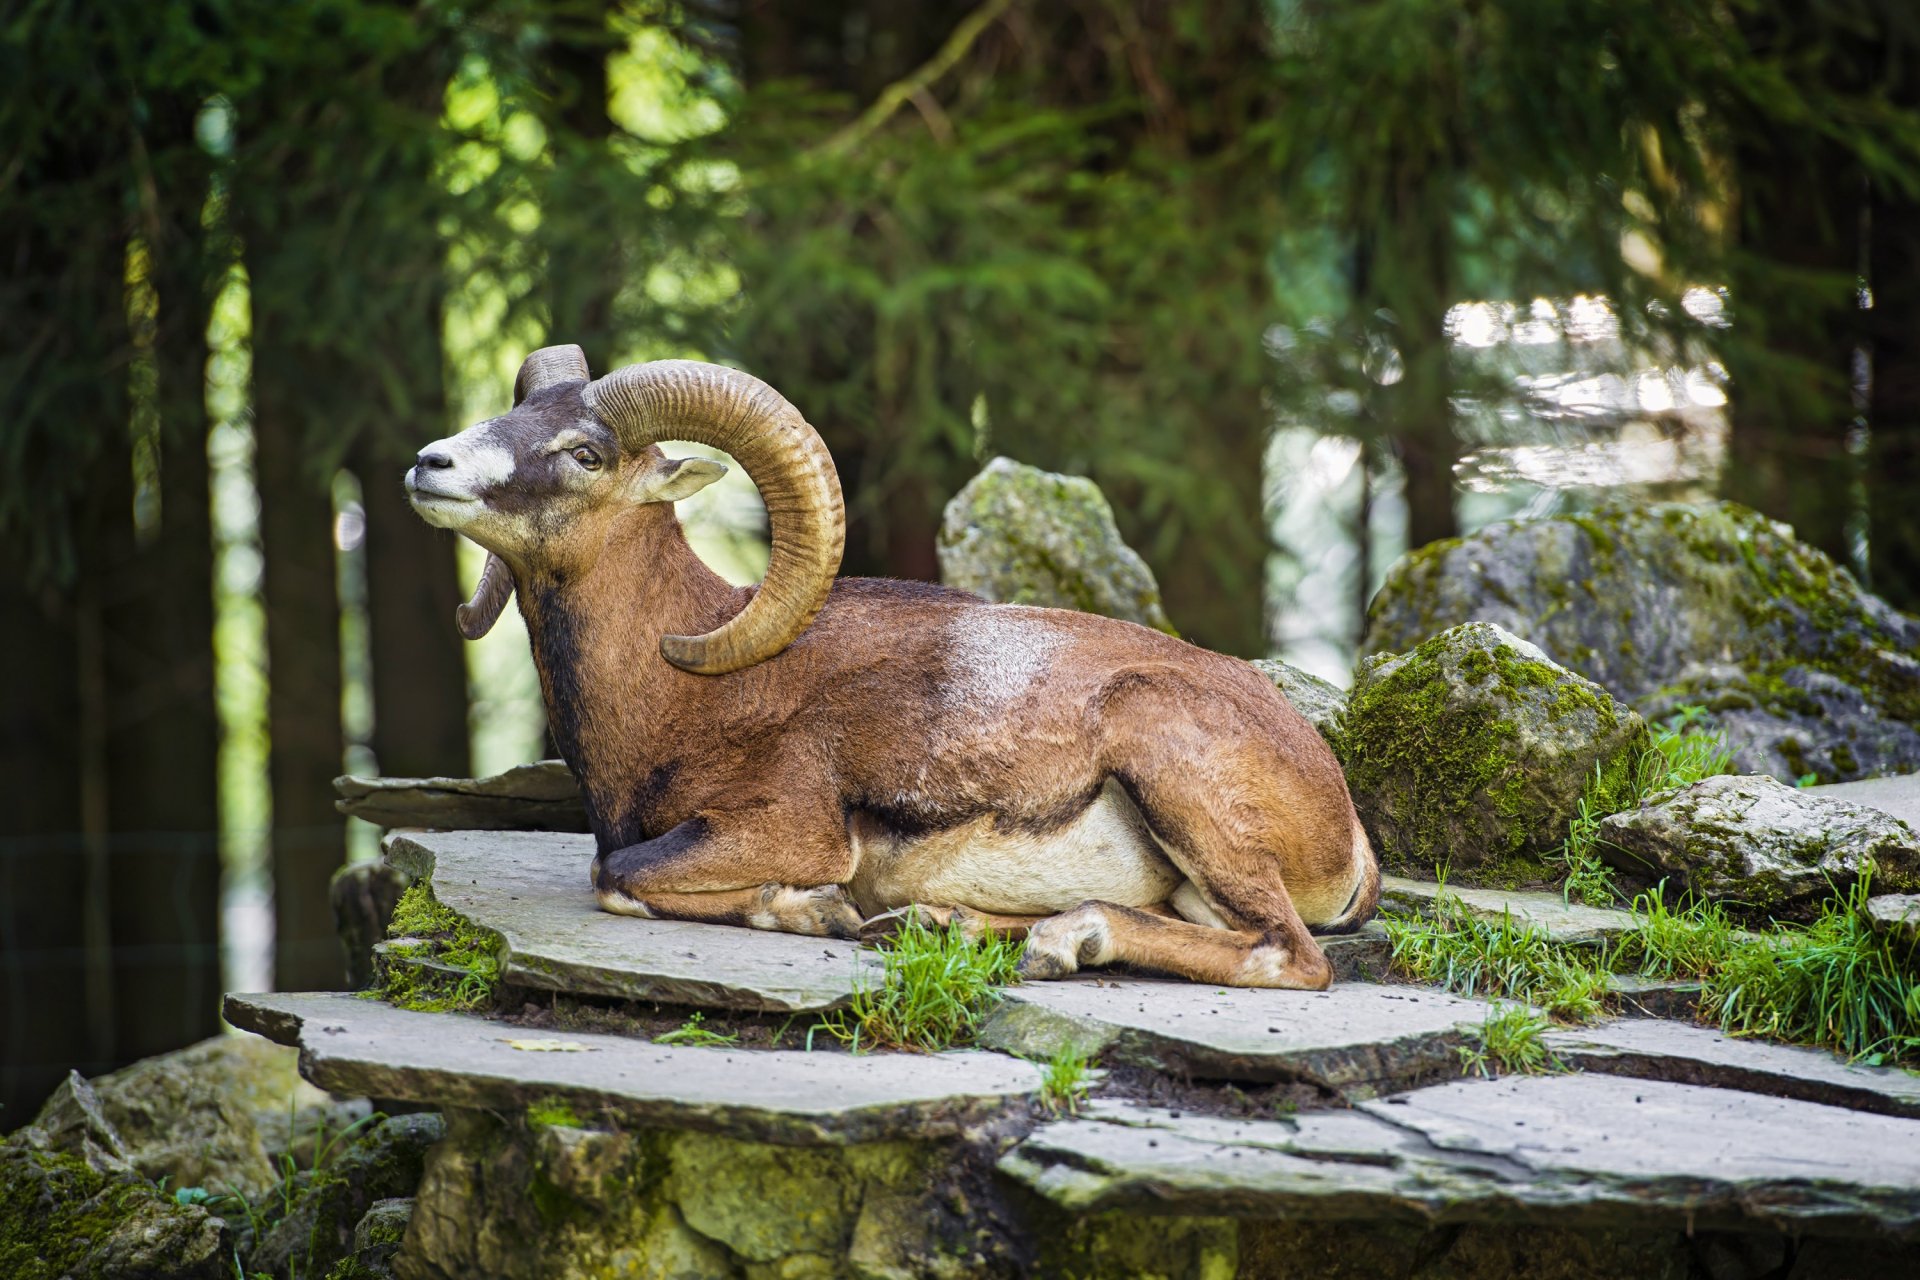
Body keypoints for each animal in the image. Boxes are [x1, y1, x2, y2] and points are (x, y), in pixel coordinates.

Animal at [406, 346, 1379, 988]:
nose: (429, 462)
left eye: (585, 452)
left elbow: (620, 878)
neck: (686, 689)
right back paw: (936, 922)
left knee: (1289, 955)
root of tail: (1346, 828)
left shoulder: (786, 830)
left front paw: (820, 911)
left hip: (1177, 775)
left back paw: (1068, 940)